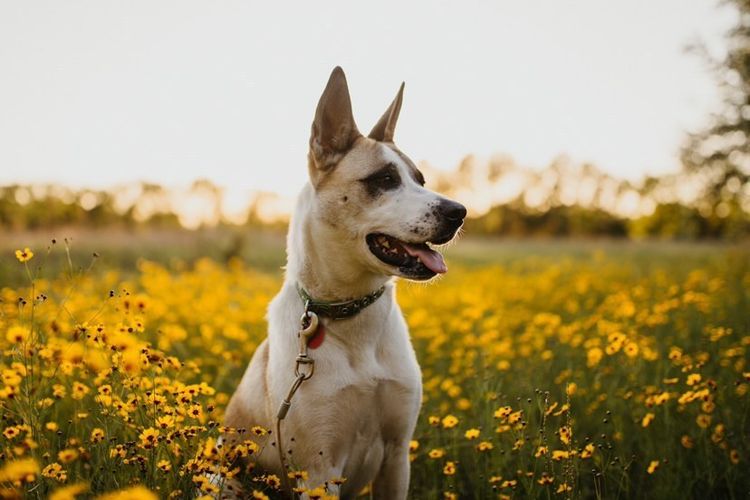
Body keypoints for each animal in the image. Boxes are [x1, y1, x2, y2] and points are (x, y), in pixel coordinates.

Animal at [223, 65, 468, 496]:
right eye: (384, 179)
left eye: (420, 180)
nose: (459, 212)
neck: (352, 314)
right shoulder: (319, 471)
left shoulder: (397, 456)